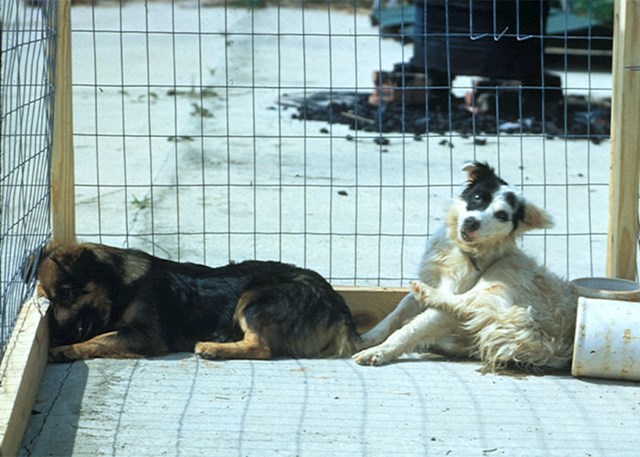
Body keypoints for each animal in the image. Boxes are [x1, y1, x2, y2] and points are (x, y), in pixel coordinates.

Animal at [32, 242, 360, 360]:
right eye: (47, 299)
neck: (121, 286)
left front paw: (66, 349)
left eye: (66, 294)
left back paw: (213, 348)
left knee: (262, 348)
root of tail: (339, 308)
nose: (56, 333)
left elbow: (101, 338)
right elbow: (102, 335)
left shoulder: (148, 336)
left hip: (254, 300)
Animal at [352, 160, 576, 370]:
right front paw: (365, 339)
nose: (471, 222)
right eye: (477, 197)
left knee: (464, 304)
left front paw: (379, 351)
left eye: (502, 215)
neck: (462, 251)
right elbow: (394, 315)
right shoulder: (429, 279)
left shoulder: (447, 303)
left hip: (503, 274)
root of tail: (553, 345)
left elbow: (411, 329)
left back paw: (427, 295)